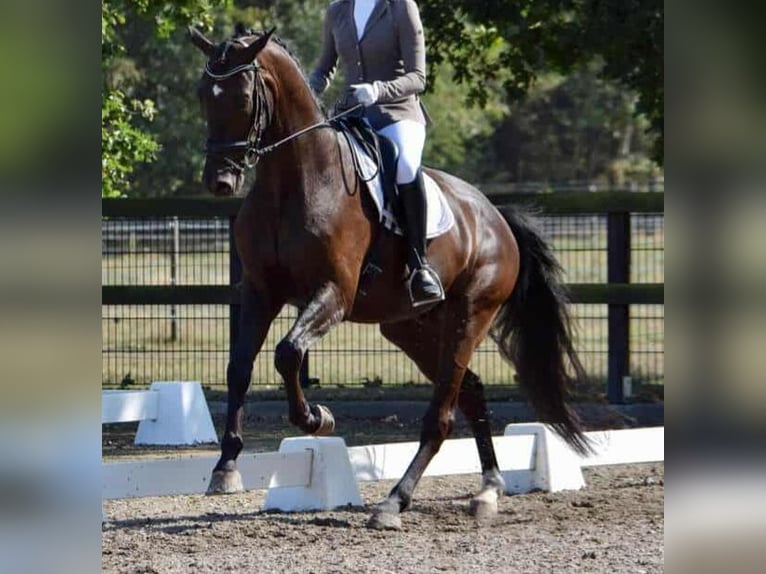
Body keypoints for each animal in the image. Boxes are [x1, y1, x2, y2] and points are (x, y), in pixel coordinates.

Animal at [189, 27, 589, 529]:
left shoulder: (333, 294)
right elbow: (239, 367)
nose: (219, 181)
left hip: (470, 315)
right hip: (410, 326)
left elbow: (288, 353)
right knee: (470, 390)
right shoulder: (262, 293)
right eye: (203, 95)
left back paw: (395, 502)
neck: (294, 180)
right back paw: (488, 490)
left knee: (441, 415)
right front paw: (225, 468)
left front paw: (317, 419)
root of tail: (494, 215)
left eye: (243, 97)